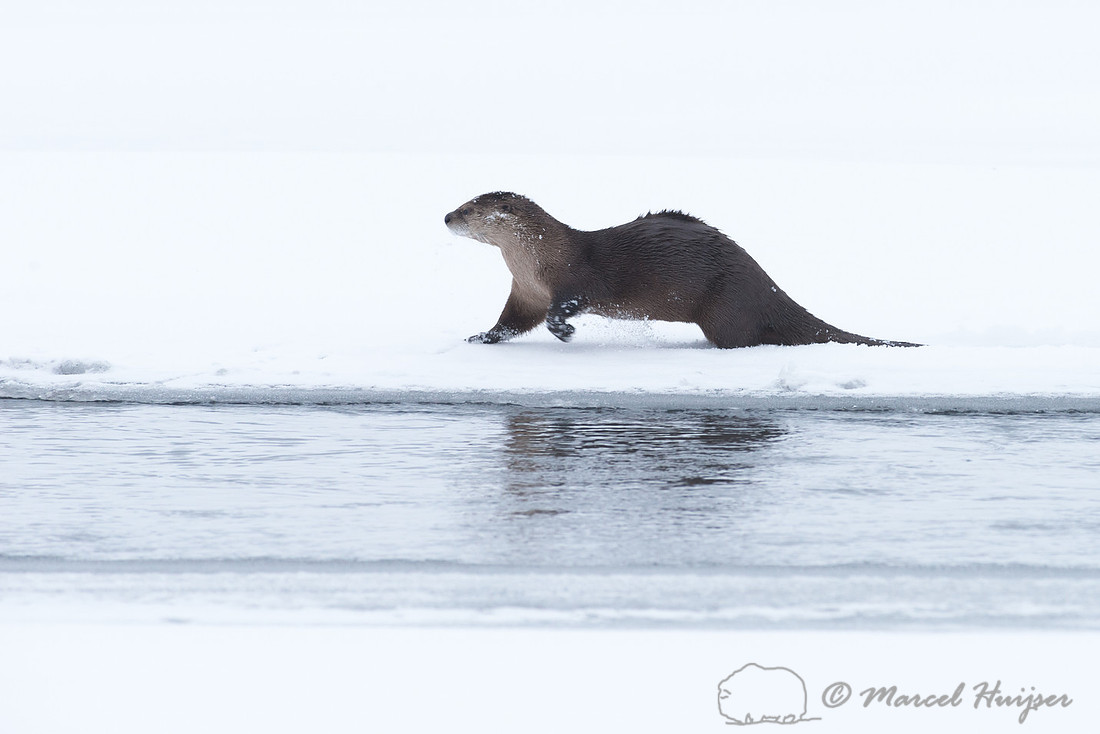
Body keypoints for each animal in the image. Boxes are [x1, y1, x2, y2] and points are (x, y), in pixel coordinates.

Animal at [445, 192, 918, 348]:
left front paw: (565, 332)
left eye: (468, 209)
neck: (538, 260)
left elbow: (566, 307)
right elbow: (510, 323)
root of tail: (765, 283)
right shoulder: (525, 292)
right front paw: (480, 338)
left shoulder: (576, 279)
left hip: (727, 304)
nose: (446, 216)